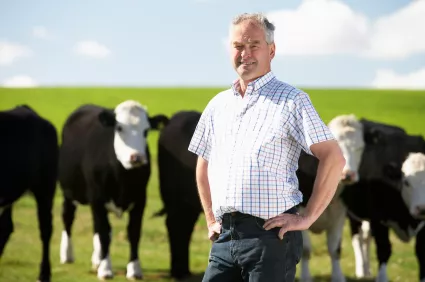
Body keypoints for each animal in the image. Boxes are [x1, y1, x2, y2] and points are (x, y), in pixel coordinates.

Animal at [56, 101, 169, 280]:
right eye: (119, 128)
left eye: (146, 131)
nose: (137, 157)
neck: (122, 177)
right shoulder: (97, 199)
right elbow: (104, 232)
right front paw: (105, 269)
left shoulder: (140, 200)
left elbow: (133, 232)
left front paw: (134, 269)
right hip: (68, 191)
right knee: (68, 217)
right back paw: (67, 255)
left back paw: (96, 258)